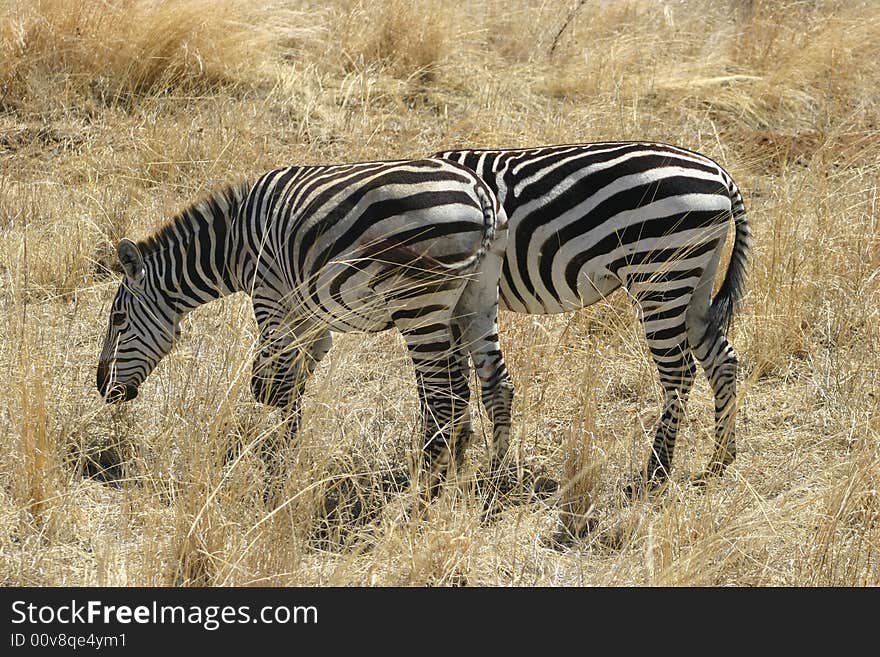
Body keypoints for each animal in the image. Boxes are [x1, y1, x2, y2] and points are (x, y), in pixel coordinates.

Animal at [94, 159, 516, 494]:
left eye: (118, 320)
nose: (103, 388)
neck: (231, 245)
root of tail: (479, 191)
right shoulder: (310, 316)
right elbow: (291, 382)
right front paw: (282, 452)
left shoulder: (269, 297)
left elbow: (272, 386)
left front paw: (278, 469)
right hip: (477, 296)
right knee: (495, 385)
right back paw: (488, 479)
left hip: (418, 303)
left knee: (445, 397)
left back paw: (425, 490)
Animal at [434, 144, 748, 492]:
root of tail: (719, 174)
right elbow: (458, 375)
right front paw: (458, 447)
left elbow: (449, 379)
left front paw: (449, 452)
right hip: (695, 279)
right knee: (722, 358)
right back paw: (720, 458)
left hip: (661, 277)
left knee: (679, 373)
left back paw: (656, 471)